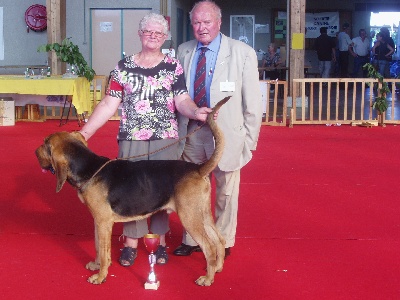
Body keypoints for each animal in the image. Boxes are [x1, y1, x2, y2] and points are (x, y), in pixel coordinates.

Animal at [36, 96, 230, 286]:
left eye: (45, 144)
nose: (35, 152)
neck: (90, 169)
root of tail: (198, 169)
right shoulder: (98, 221)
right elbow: (99, 247)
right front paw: (96, 266)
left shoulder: (104, 222)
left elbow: (104, 252)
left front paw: (100, 276)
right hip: (202, 214)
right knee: (219, 240)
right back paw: (218, 268)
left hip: (190, 217)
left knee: (209, 247)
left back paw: (207, 278)